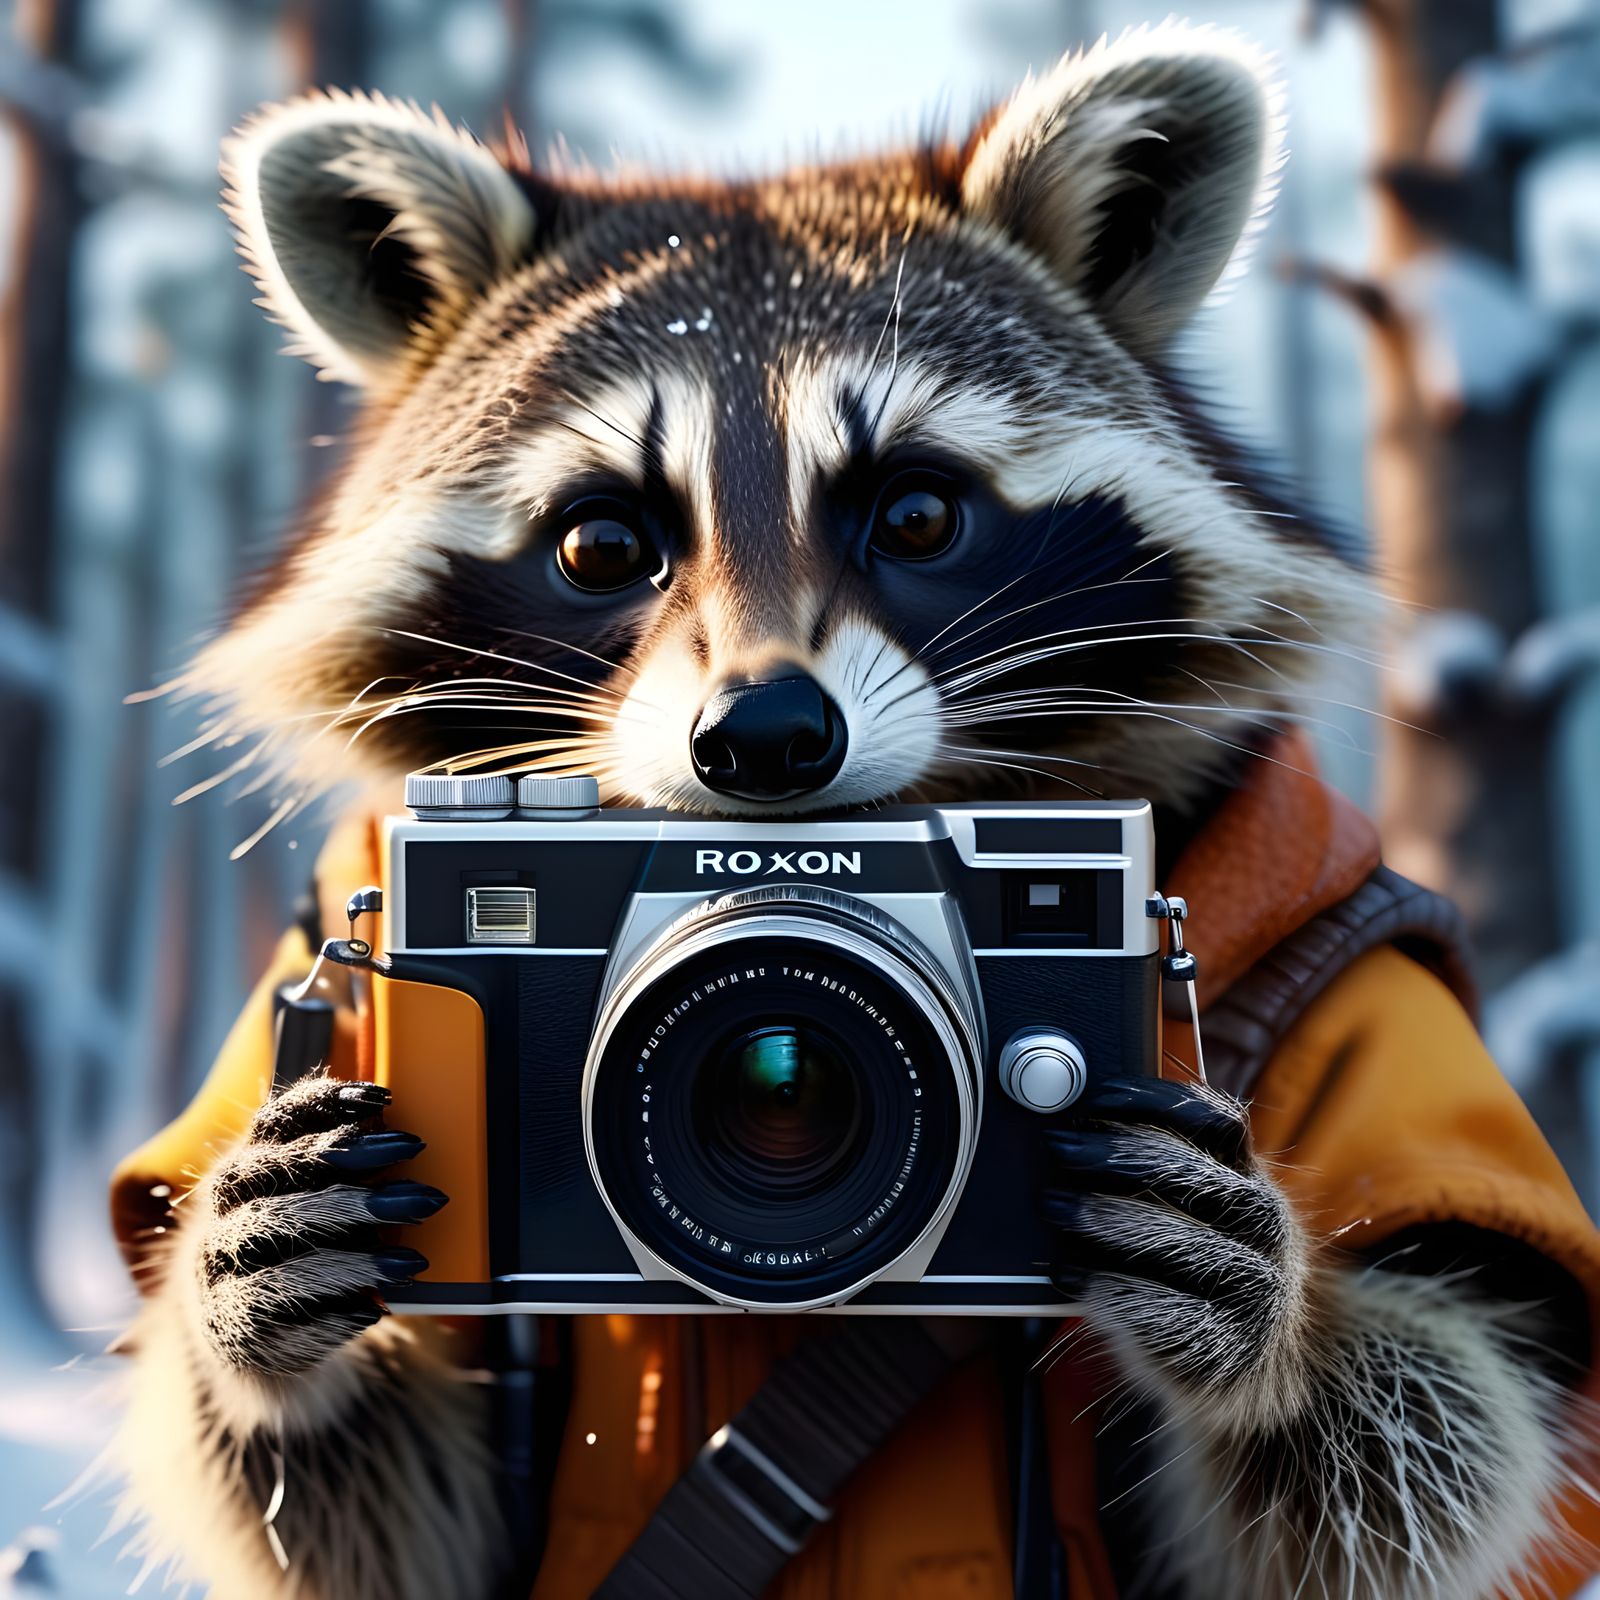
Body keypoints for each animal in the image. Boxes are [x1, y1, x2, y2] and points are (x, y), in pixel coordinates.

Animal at [115, 23, 1592, 1600]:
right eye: (603, 543)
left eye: (918, 514)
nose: (764, 737)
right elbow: (374, 1515)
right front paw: (260, 1309)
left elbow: (1440, 1430)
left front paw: (1272, 1331)